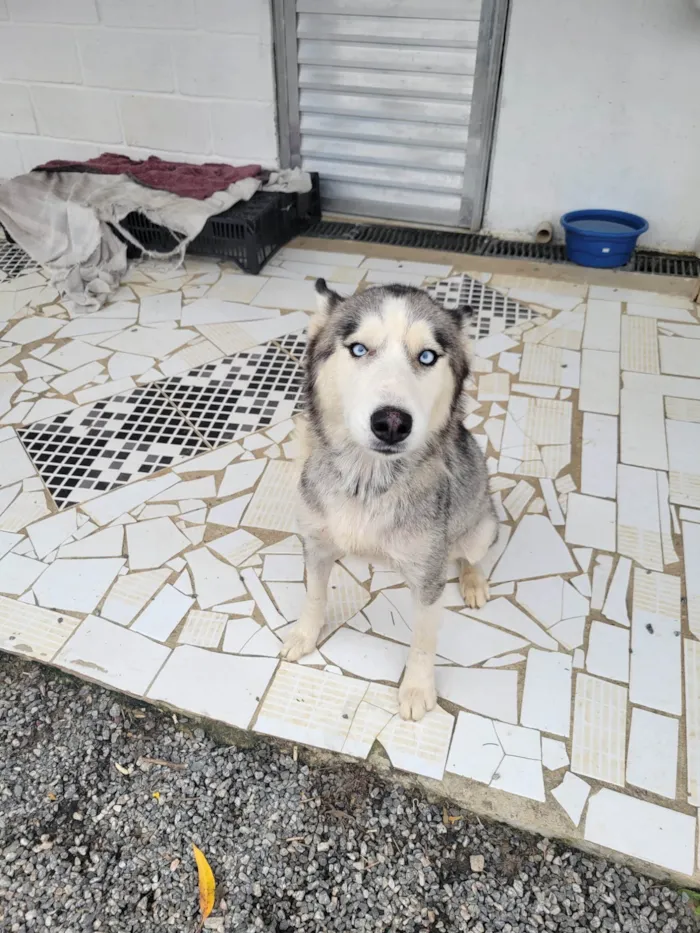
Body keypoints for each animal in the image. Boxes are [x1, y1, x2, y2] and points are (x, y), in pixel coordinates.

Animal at [282, 276, 500, 720]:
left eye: (428, 356)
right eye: (358, 349)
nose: (392, 423)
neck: (367, 482)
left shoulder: (429, 577)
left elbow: (423, 640)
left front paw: (416, 689)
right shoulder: (314, 543)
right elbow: (314, 595)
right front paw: (305, 634)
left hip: (481, 524)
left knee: (469, 553)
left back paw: (472, 580)